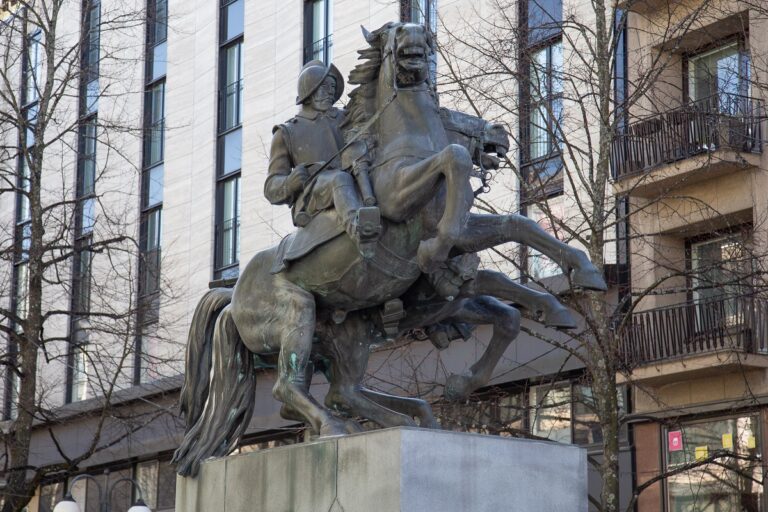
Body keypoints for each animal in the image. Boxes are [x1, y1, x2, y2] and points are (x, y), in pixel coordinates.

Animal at [172, 20, 608, 476]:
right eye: (398, 35)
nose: (498, 134)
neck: (406, 145)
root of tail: (233, 292)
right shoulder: (405, 205)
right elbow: (454, 160)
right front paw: (438, 253)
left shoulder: (459, 263)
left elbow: (514, 241)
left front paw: (574, 285)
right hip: (299, 313)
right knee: (294, 388)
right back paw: (344, 426)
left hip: (347, 337)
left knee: (340, 391)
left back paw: (400, 418)